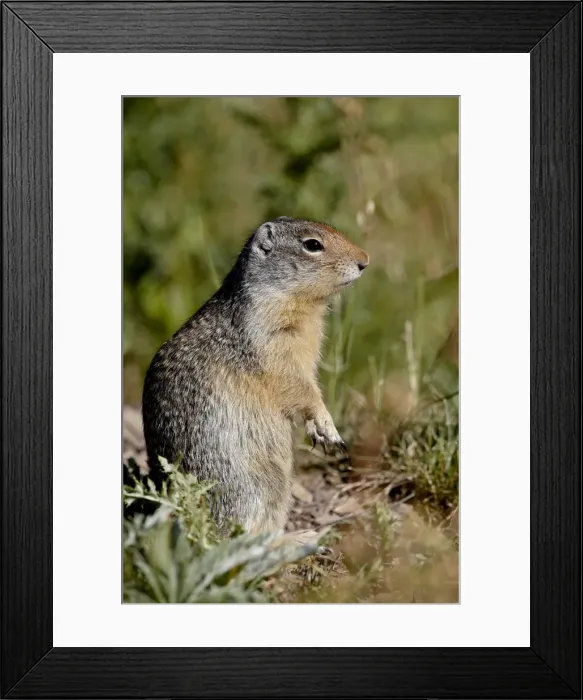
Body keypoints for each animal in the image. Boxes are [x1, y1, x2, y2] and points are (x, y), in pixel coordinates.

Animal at [142, 217, 369, 535]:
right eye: (312, 244)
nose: (365, 260)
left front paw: (317, 431)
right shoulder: (271, 344)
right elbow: (299, 388)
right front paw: (328, 426)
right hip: (259, 485)